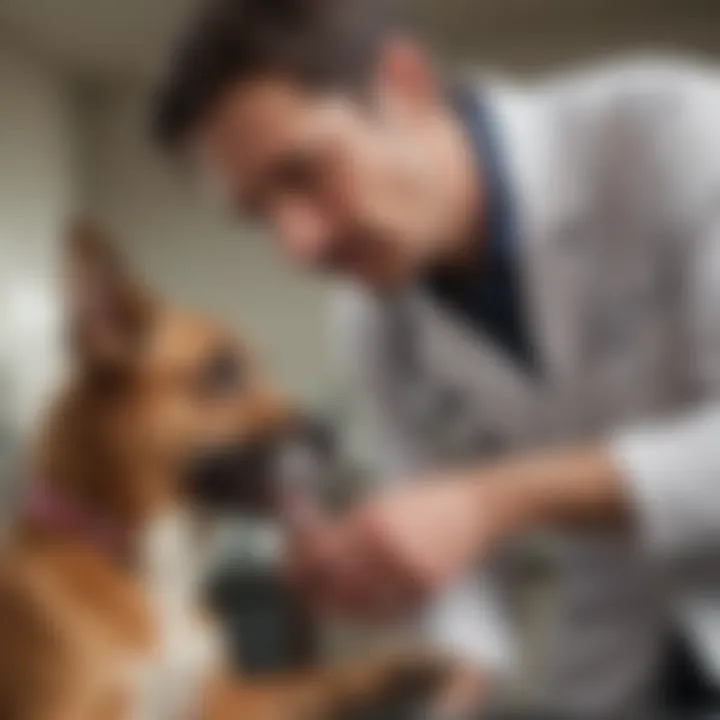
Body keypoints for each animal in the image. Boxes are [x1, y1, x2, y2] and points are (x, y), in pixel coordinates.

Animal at [0, 222, 448, 716]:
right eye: (221, 371)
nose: (332, 438)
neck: (155, 575)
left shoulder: (226, 700)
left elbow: (316, 679)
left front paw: (399, 669)